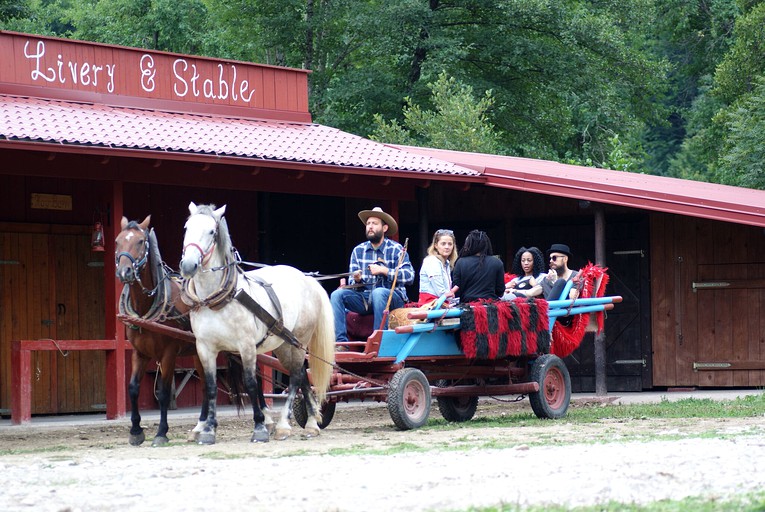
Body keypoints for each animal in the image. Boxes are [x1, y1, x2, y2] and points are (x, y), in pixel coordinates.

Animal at [115, 214, 240, 446]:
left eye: (140, 242)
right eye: (118, 241)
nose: (124, 272)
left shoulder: (168, 354)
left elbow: (164, 393)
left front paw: (161, 432)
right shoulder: (139, 352)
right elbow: (133, 388)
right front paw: (135, 431)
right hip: (199, 352)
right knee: (205, 385)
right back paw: (201, 426)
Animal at [181, 202, 336, 442]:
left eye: (212, 231)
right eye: (187, 227)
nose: (189, 265)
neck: (217, 301)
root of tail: (306, 278)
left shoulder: (246, 346)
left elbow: (252, 384)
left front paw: (260, 427)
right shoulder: (205, 348)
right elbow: (211, 386)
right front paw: (207, 430)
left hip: (299, 340)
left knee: (294, 378)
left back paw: (283, 425)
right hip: (283, 344)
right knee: (301, 373)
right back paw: (311, 423)